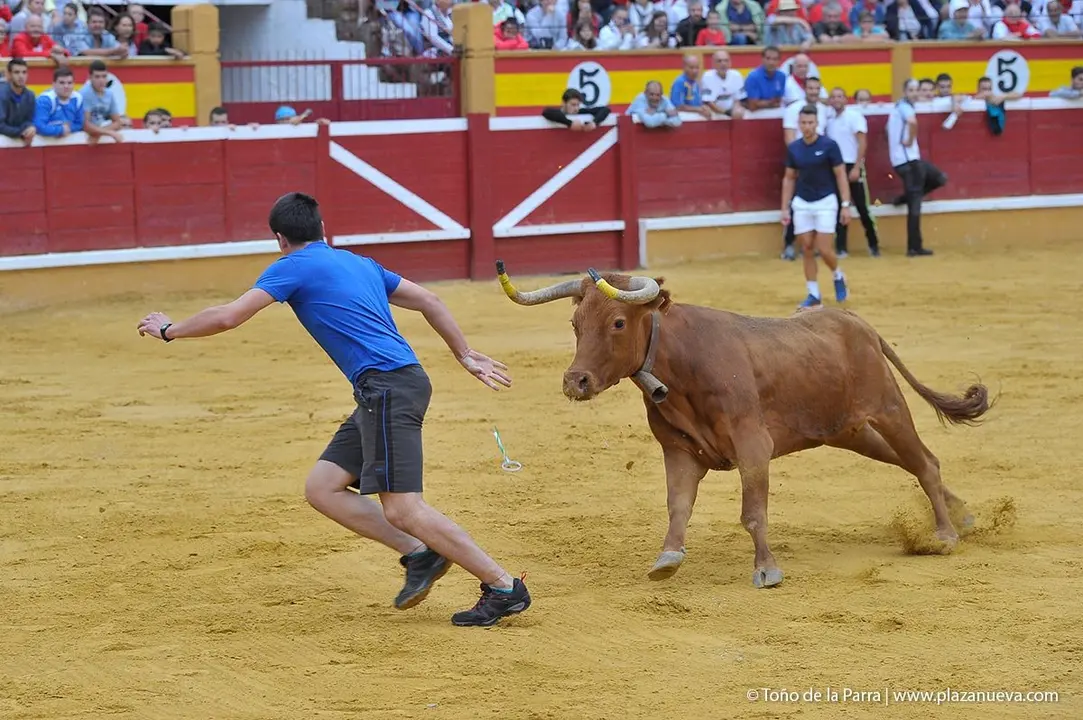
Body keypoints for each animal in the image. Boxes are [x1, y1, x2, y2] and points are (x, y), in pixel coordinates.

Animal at [494, 261, 994, 589]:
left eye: (617, 322)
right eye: (575, 322)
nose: (575, 381)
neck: (681, 363)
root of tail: (857, 323)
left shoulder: (753, 446)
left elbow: (753, 513)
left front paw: (767, 569)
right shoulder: (679, 451)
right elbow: (678, 507)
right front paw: (667, 558)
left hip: (887, 408)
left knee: (924, 460)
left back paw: (945, 535)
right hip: (849, 431)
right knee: (911, 461)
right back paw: (963, 514)